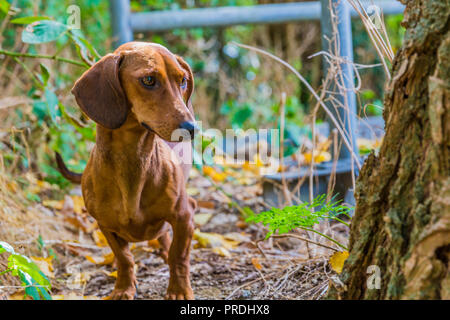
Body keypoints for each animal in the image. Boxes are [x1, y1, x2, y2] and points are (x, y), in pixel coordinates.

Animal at [55, 42, 197, 300]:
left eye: (182, 80)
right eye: (149, 80)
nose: (191, 128)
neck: (134, 161)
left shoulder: (185, 215)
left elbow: (179, 256)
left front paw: (179, 290)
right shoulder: (105, 225)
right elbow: (124, 258)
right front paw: (123, 288)